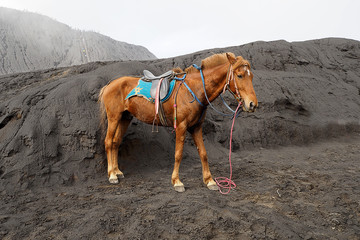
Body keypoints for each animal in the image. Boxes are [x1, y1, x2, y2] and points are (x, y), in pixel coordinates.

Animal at [97, 52, 258, 191]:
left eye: (251, 77)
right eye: (239, 75)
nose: (252, 104)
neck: (194, 89)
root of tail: (110, 84)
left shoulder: (196, 127)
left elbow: (203, 153)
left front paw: (210, 180)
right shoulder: (181, 126)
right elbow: (178, 154)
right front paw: (177, 181)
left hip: (125, 118)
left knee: (116, 142)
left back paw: (117, 171)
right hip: (114, 117)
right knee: (108, 142)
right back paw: (112, 174)